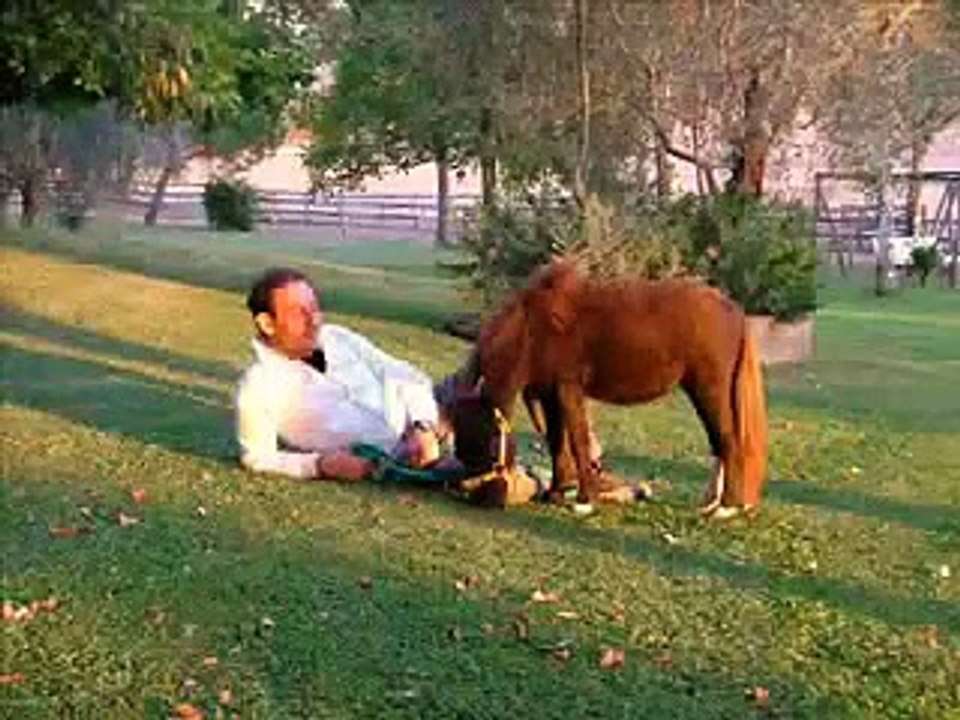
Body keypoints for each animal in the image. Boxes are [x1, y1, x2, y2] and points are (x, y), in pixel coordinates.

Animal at [457, 258, 769, 518]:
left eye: (484, 445)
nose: (483, 500)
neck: (536, 326)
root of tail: (733, 310)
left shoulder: (568, 390)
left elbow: (578, 442)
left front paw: (584, 500)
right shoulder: (549, 396)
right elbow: (557, 442)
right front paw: (557, 493)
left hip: (709, 391)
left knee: (728, 441)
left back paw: (726, 507)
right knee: (720, 443)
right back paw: (712, 503)